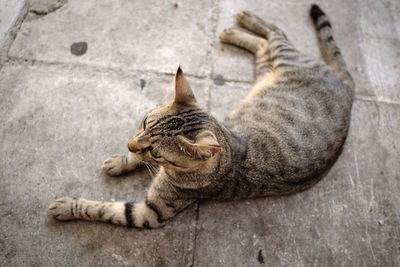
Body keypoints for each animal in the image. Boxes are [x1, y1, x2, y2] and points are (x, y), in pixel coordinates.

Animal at [47, 4, 354, 228]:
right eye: (144, 122)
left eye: (157, 153)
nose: (129, 144)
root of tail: (349, 92)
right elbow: (132, 159)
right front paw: (121, 160)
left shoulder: (151, 213)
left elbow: (104, 209)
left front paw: (68, 206)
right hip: (266, 67)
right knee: (267, 42)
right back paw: (235, 28)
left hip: (283, 58)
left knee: (279, 34)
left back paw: (242, 21)